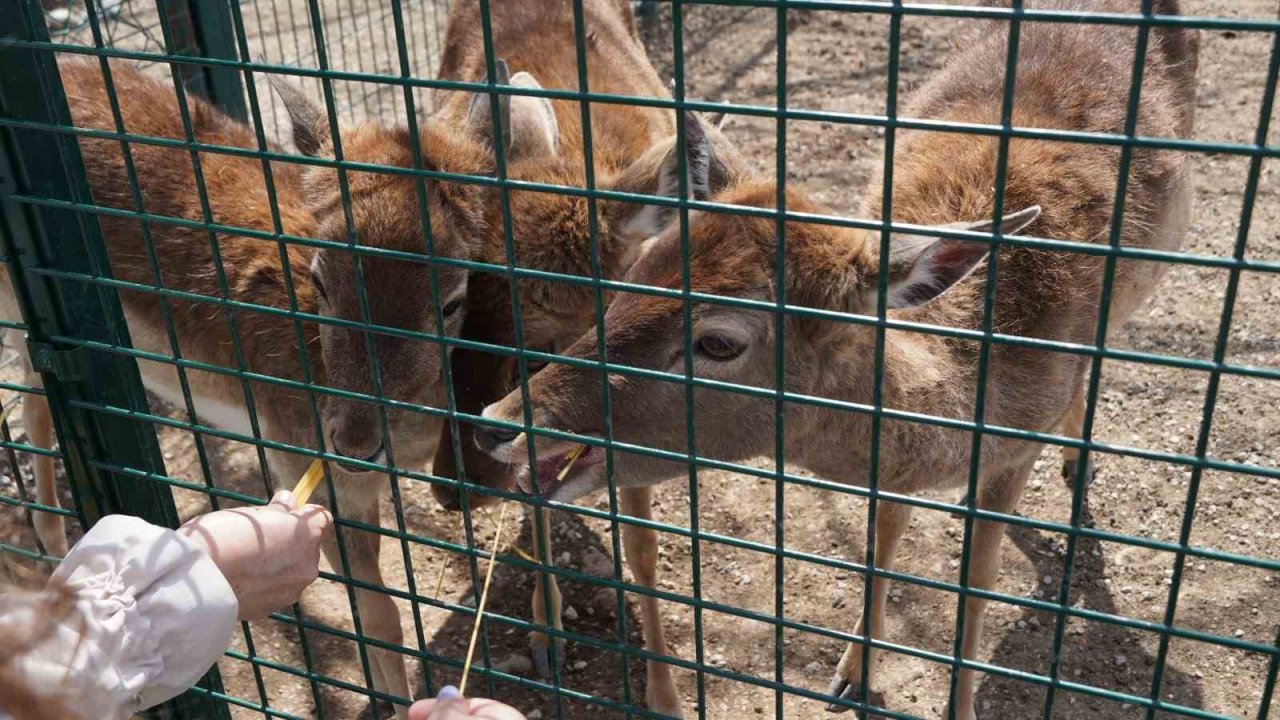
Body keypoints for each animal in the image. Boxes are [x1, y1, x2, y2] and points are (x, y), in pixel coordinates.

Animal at [3, 57, 504, 717]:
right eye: (321, 281)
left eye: (451, 301)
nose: (352, 441)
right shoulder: (300, 455)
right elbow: (379, 616)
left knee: (34, 385)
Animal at [419, 0, 747, 712]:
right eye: (457, 303)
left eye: (560, 334)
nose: (452, 486)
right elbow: (536, 499)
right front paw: (545, 635)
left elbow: (644, 545)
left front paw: (666, 693)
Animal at [473, 2, 1198, 712]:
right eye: (638, 274)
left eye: (719, 342)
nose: (500, 422)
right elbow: (883, 532)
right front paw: (853, 671)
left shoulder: (1016, 451)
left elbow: (979, 579)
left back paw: (1078, 460)